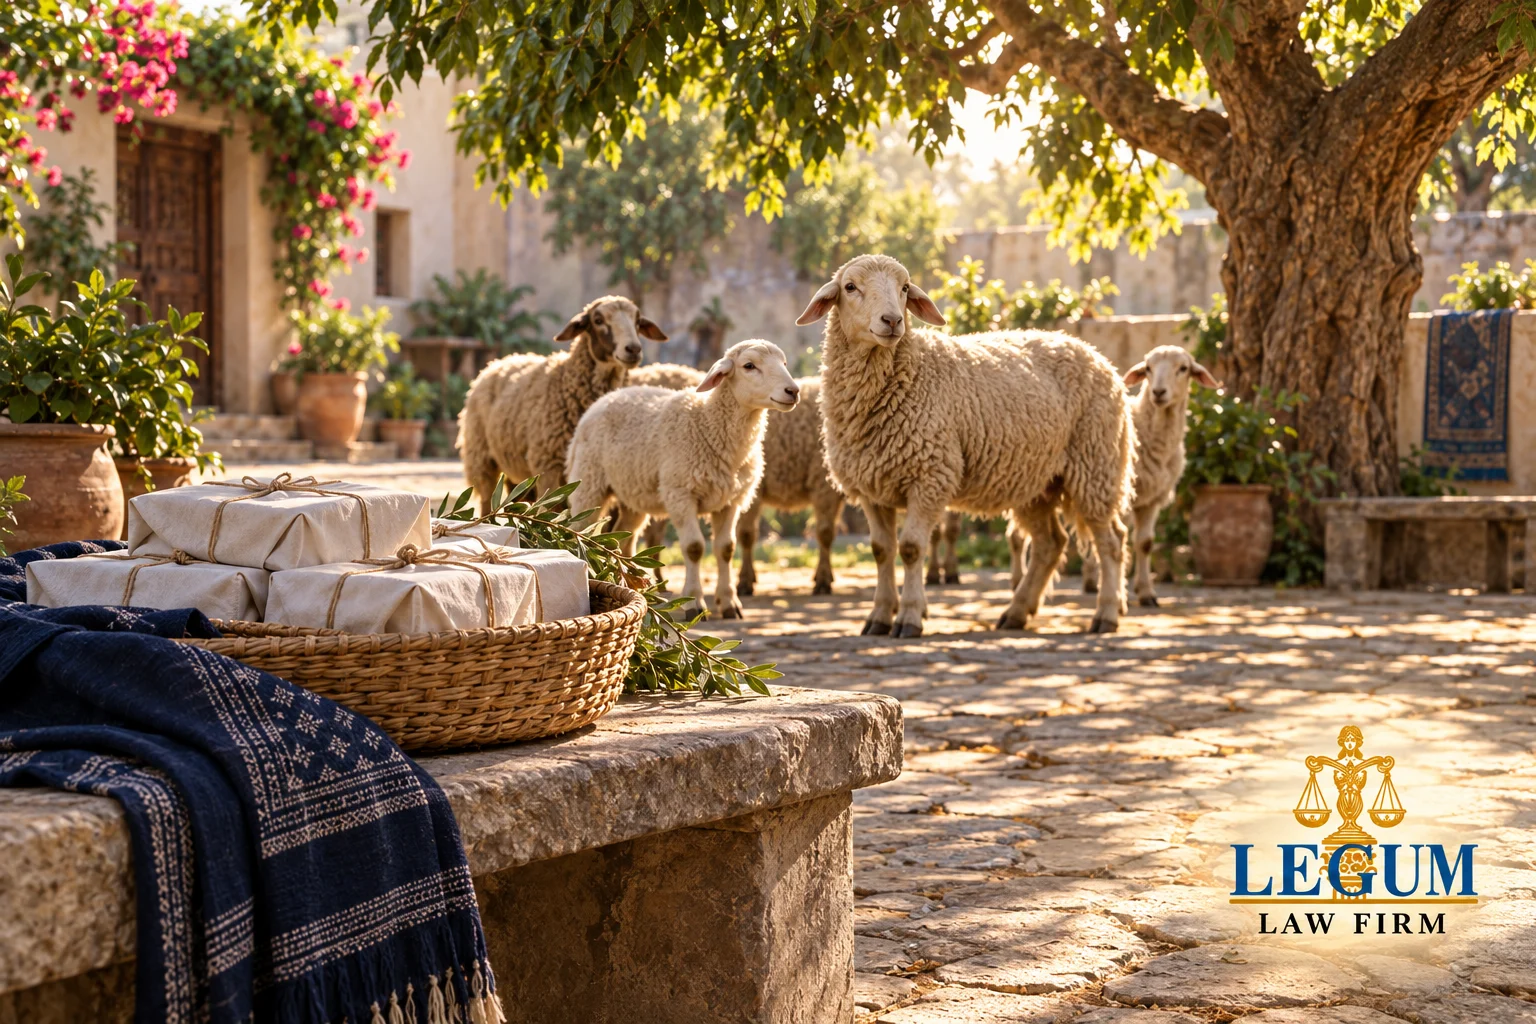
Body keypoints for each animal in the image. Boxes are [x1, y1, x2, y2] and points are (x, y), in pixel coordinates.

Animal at [457, 295, 667, 510]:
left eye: (638, 321)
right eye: (598, 320)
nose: (633, 349)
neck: (567, 382)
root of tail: (501, 361)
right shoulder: (548, 466)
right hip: (481, 458)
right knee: (486, 499)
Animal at [567, 340, 801, 619]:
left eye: (784, 363)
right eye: (749, 366)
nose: (793, 391)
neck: (710, 425)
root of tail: (605, 399)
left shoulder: (730, 501)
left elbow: (726, 548)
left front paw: (729, 603)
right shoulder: (681, 493)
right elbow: (694, 547)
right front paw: (694, 603)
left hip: (634, 493)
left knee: (624, 538)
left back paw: (634, 587)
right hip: (589, 482)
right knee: (581, 529)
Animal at [796, 254, 1135, 637]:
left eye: (904, 287)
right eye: (850, 287)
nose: (893, 321)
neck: (908, 374)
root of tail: (1097, 355)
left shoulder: (930, 475)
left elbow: (911, 549)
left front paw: (909, 618)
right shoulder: (872, 487)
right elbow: (881, 550)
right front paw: (879, 618)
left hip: (1096, 464)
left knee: (1112, 541)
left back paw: (1106, 614)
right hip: (1036, 481)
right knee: (1051, 544)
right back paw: (1016, 613)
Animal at [1077, 344, 1219, 606]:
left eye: (1183, 368)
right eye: (1148, 368)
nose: (1158, 392)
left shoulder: (1152, 499)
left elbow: (1144, 543)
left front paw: (1146, 593)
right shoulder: (1125, 497)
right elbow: (1121, 541)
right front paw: (1119, 589)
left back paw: (1091, 581)